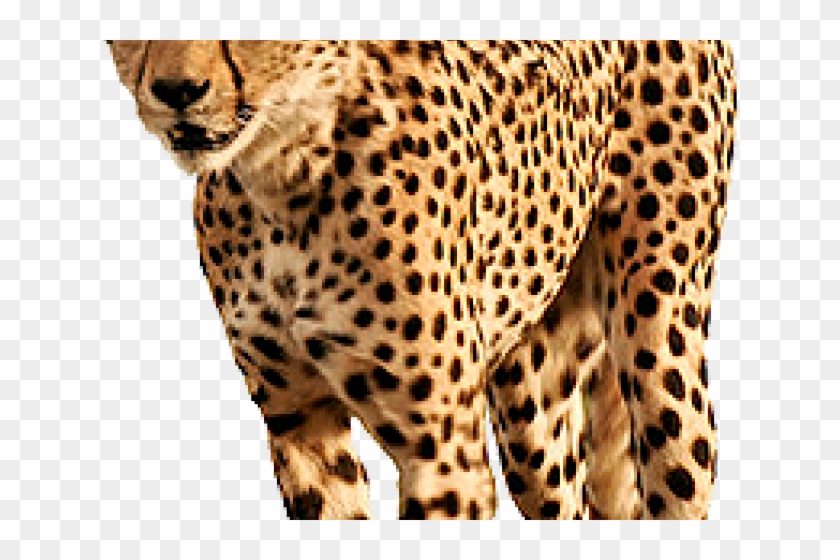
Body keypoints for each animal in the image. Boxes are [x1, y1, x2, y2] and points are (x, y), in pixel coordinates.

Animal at [108, 40, 736, 520]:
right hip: (533, 402)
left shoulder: (439, 448)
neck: (283, 177)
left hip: (658, 339)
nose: (177, 91)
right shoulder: (299, 426)